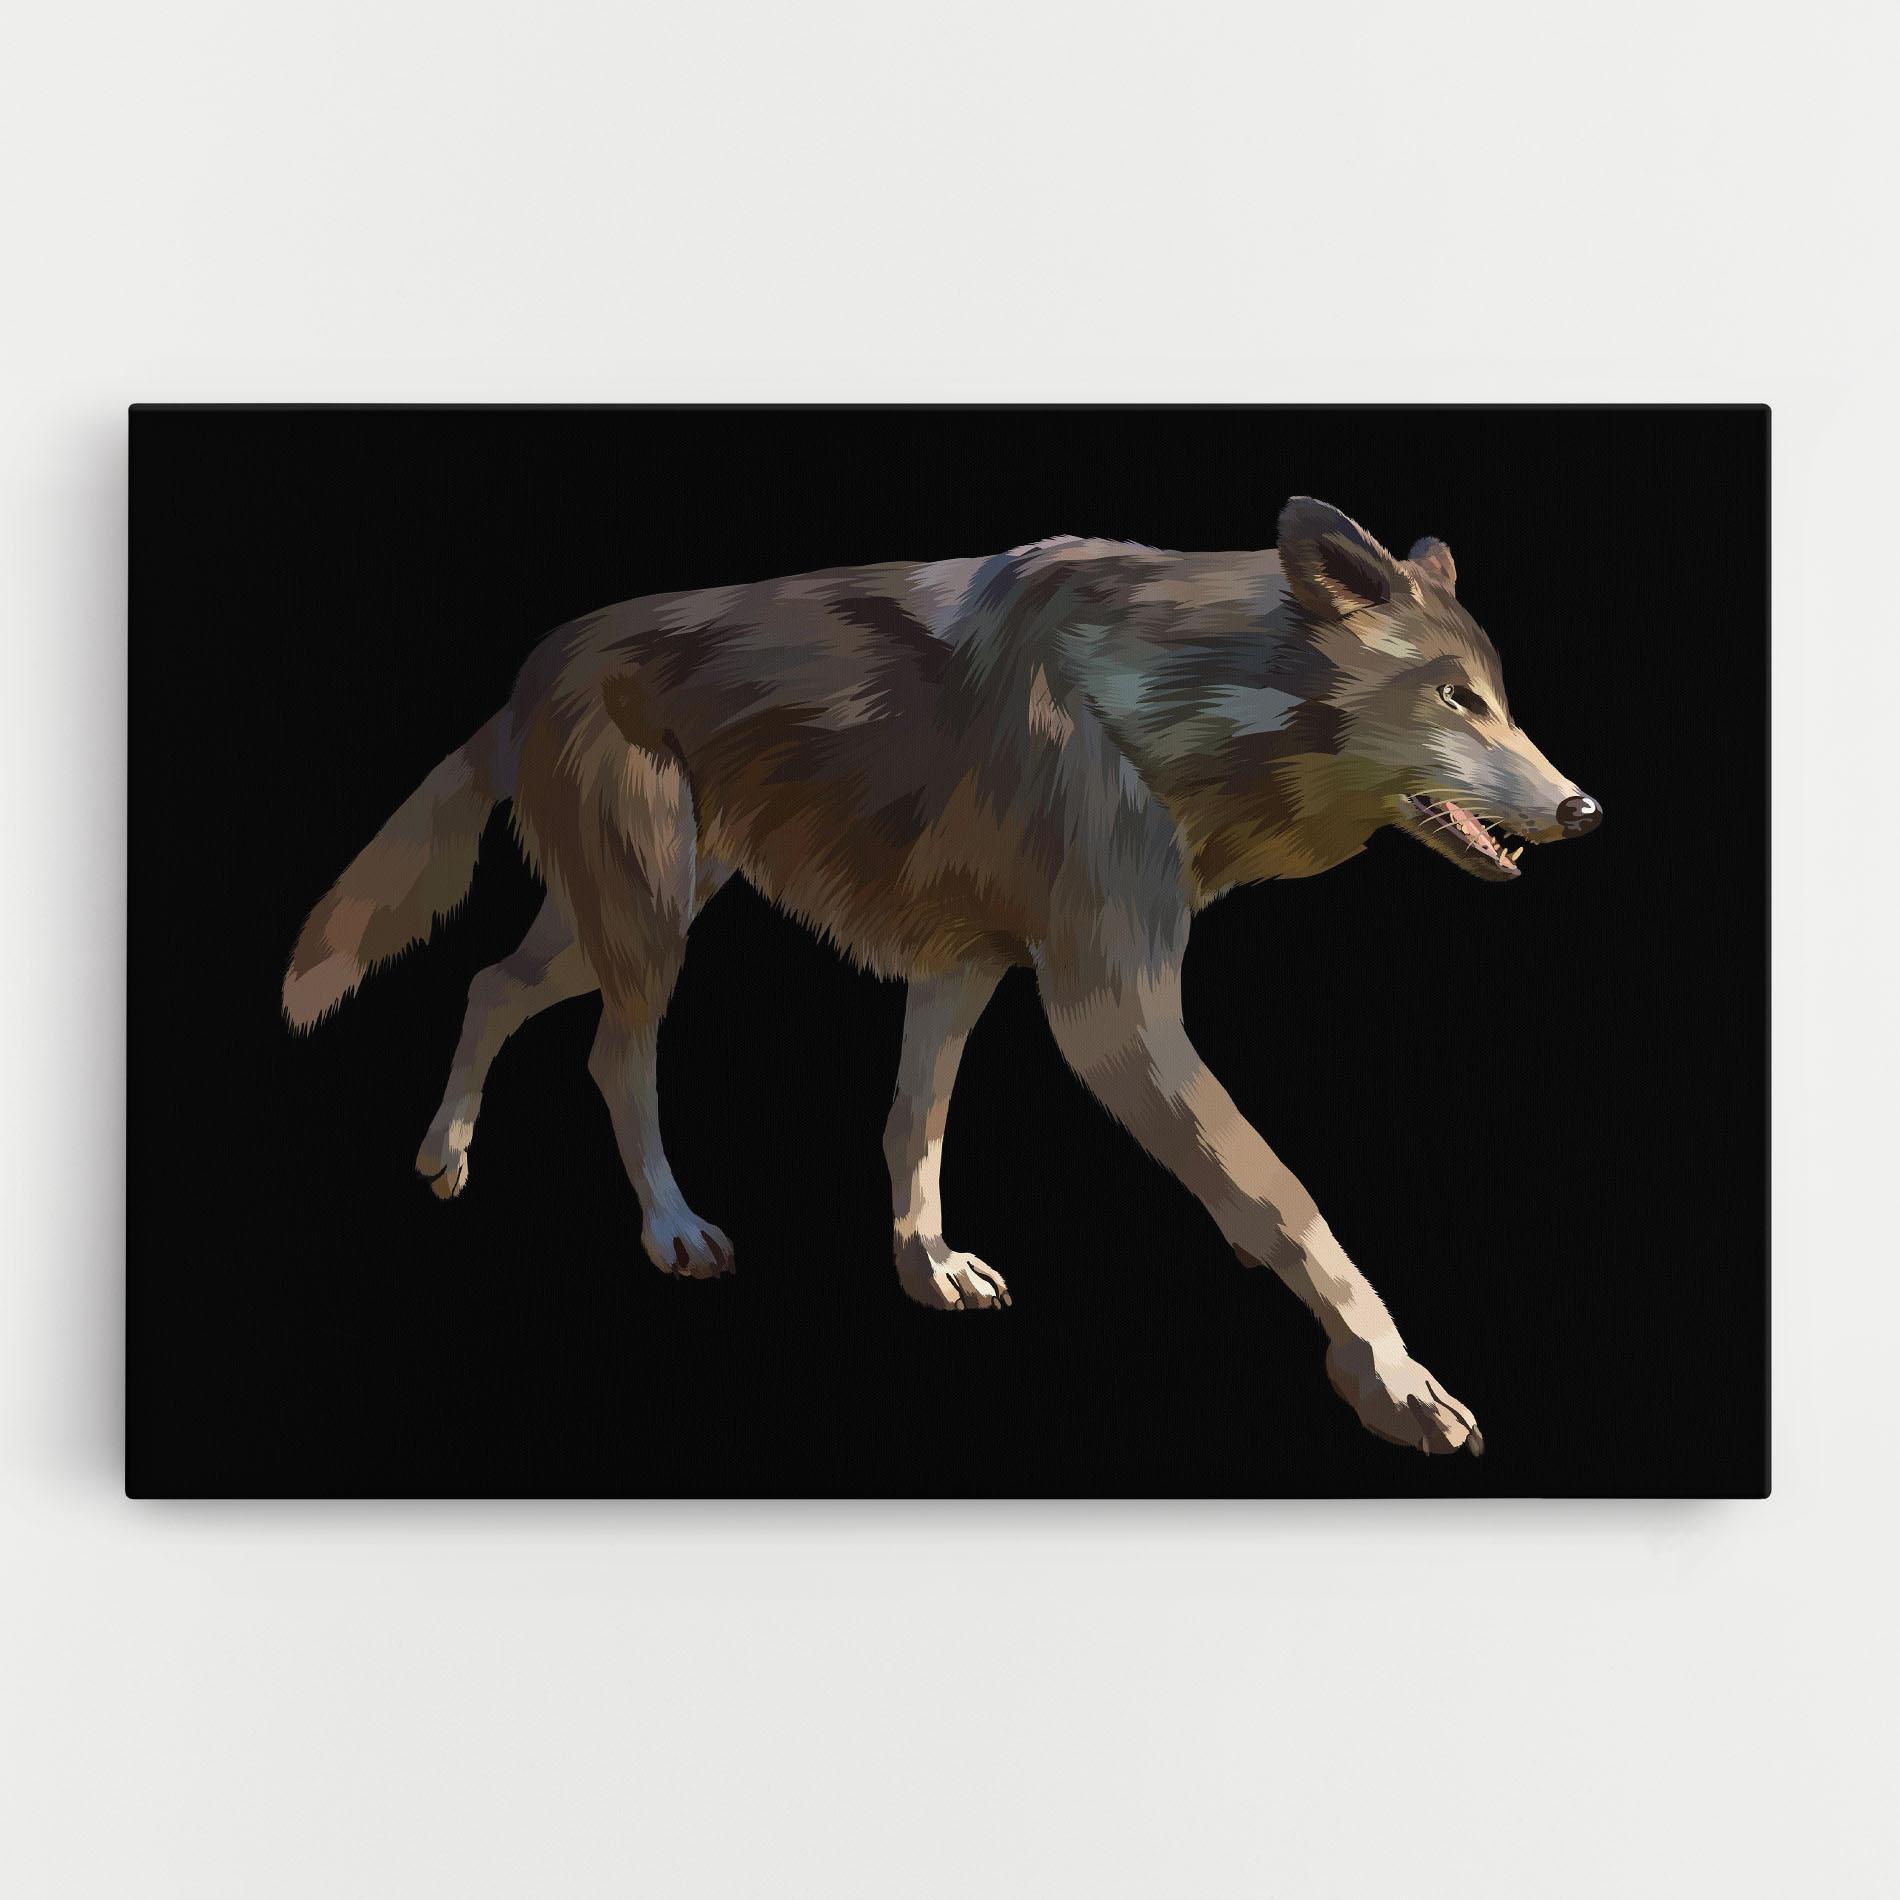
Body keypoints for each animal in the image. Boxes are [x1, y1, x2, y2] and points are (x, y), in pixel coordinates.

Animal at [283, 496, 1601, 1455]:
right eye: (1457, 699)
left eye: (1503, 701)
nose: (1584, 809)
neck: (1169, 705)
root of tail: (535, 659)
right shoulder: (1108, 1013)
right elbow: (1286, 1201)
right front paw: (1395, 1382)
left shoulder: (962, 967)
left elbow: (912, 1124)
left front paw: (926, 1269)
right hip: (650, 925)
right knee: (612, 1053)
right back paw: (670, 1229)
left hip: (623, 918)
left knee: (489, 984)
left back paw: (445, 1156)